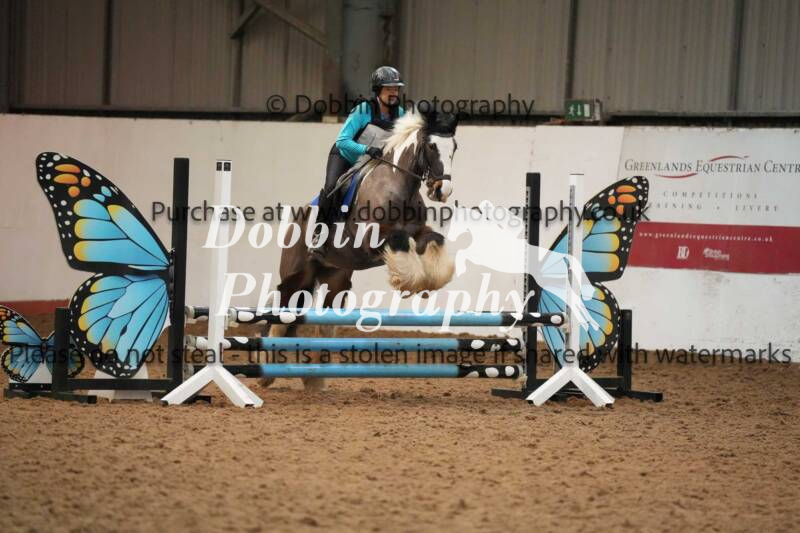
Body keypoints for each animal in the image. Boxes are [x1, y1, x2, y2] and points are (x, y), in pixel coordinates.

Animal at [262, 111, 459, 391]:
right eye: (431, 146)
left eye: (454, 147)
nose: (442, 190)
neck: (398, 186)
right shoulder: (372, 240)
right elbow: (399, 242)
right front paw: (409, 282)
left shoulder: (419, 233)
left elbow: (435, 239)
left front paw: (428, 283)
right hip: (297, 274)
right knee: (284, 313)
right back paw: (268, 373)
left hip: (336, 279)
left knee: (323, 323)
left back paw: (314, 379)